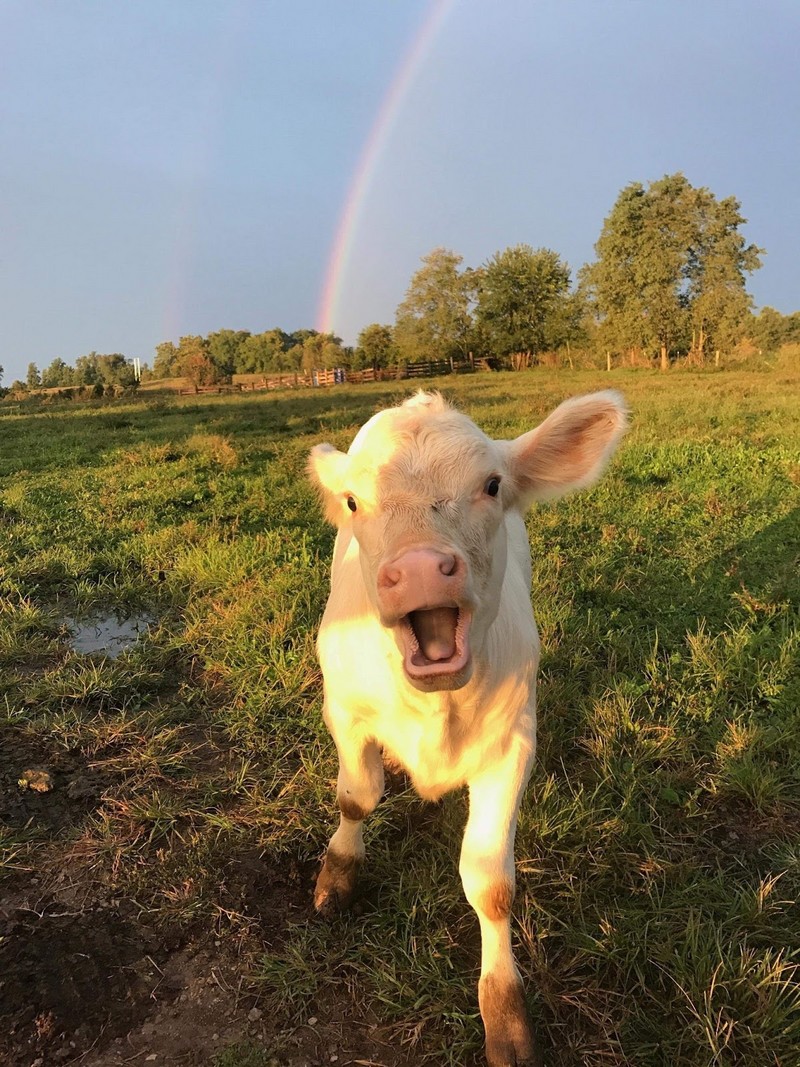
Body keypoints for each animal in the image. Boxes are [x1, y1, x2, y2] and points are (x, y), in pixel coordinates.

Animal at [309, 392, 631, 1067]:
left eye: (491, 485)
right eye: (353, 500)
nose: (420, 568)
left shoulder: (512, 745)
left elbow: (490, 885)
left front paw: (504, 1014)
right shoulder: (343, 710)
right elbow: (357, 796)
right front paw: (339, 871)